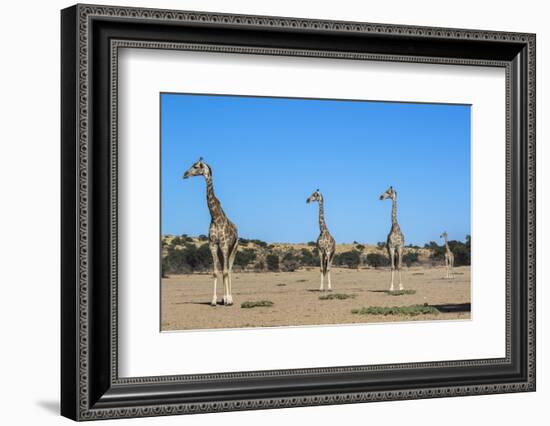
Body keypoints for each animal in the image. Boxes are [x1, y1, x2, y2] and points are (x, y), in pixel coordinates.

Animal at [184, 158, 238, 304]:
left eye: (196, 166)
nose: (184, 174)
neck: (215, 217)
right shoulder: (213, 245)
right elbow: (215, 272)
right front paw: (214, 300)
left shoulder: (224, 245)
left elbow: (225, 272)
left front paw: (228, 300)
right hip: (221, 251)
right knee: (224, 268)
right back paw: (223, 298)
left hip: (233, 248)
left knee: (229, 270)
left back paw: (230, 298)